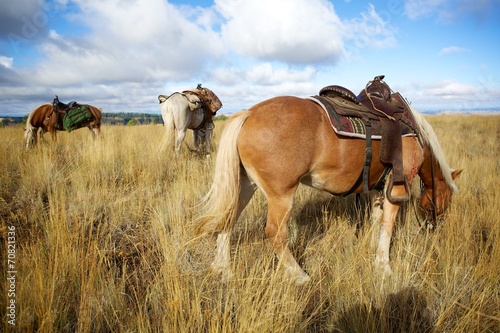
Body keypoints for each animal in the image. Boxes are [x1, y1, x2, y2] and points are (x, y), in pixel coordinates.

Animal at [197, 95, 462, 282]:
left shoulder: (376, 188)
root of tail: (249, 113)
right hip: (281, 195)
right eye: (446, 196)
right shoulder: (396, 189)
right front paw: (384, 267)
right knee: (275, 233)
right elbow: (388, 226)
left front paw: (370, 248)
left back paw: (222, 269)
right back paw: (300, 276)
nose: (434, 226)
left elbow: (376, 220)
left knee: (227, 220)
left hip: (245, 186)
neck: (414, 134)